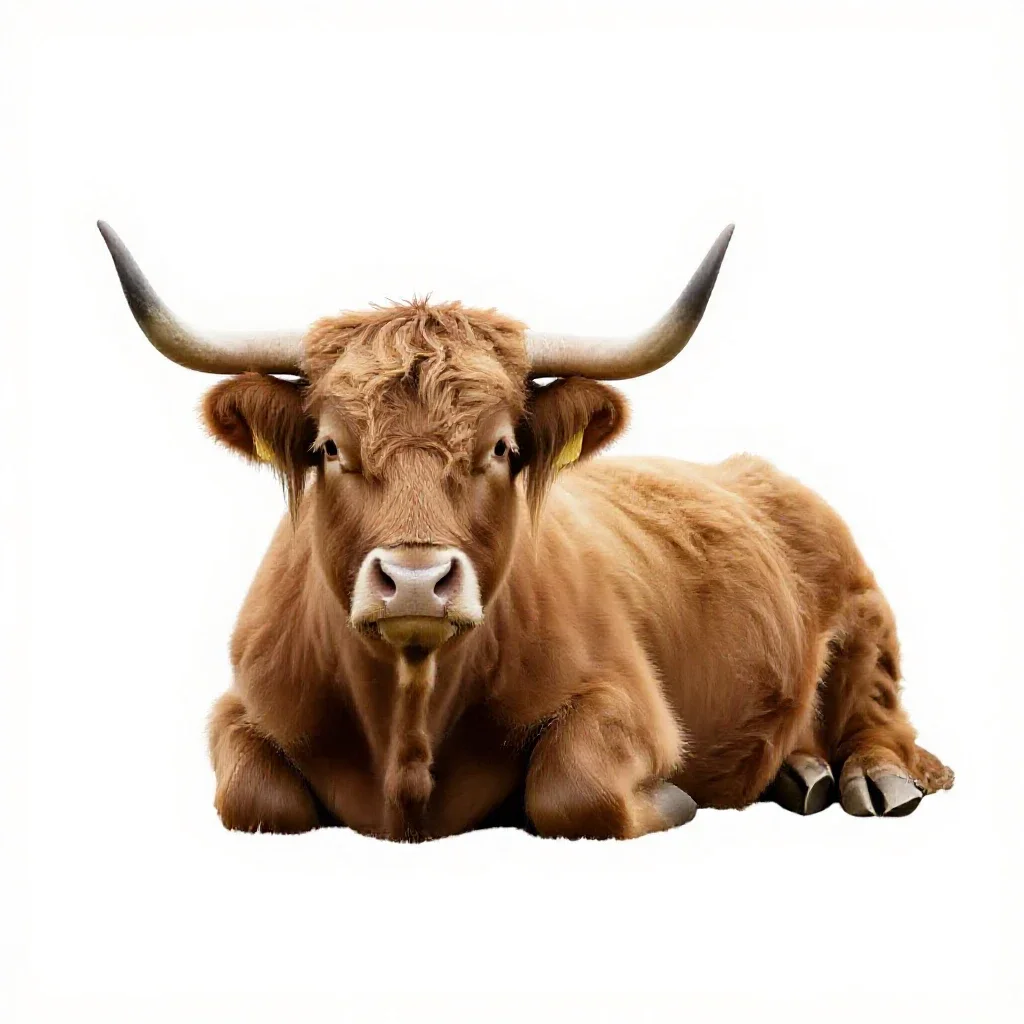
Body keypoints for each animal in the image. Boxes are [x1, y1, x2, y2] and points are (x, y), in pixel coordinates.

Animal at [98, 221, 953, 840]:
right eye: (330, 448)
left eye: (503, 448)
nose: (416, 581)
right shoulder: (240, 708)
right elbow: (253, 797)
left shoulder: (631, 705)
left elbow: (572, 788)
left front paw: (670, 800)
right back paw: (798, 772)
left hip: (865, 619)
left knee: (881, 715)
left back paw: (870, 777)